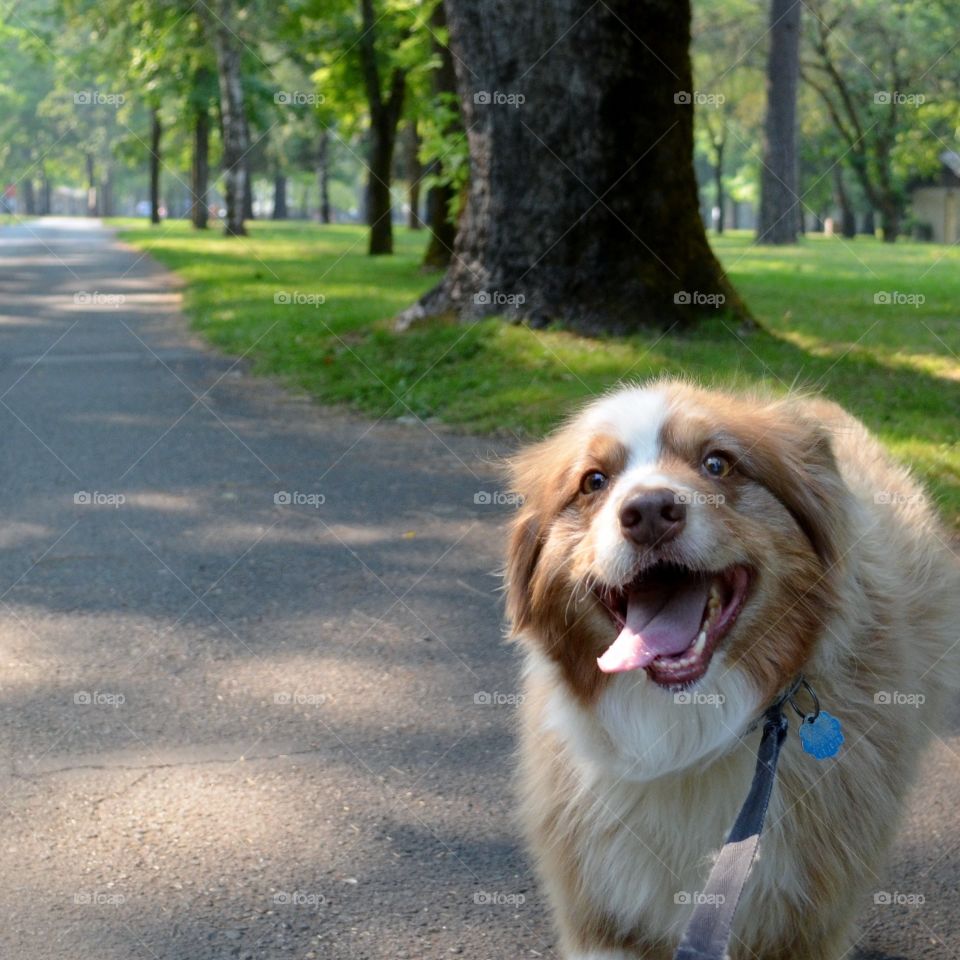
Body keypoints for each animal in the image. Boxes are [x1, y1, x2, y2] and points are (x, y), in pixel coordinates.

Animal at [506, 380, 960, 960]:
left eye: (717, 463)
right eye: (594, 482)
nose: (649, 510)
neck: (686, 731)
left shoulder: (797, 925)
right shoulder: (607, 917)